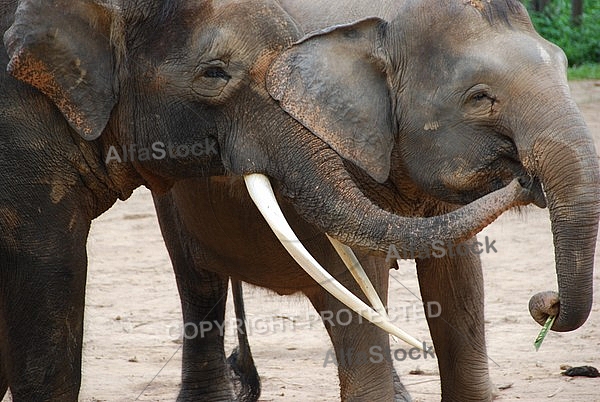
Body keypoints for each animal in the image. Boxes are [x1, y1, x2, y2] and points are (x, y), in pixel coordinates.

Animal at [154, 0, 600, 400]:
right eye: (479, 98)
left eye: (563, 68)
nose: (548, 302)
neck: (385, 26)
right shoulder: (325, 147)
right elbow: (359, 276)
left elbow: (460, 279)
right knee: (199, 286)